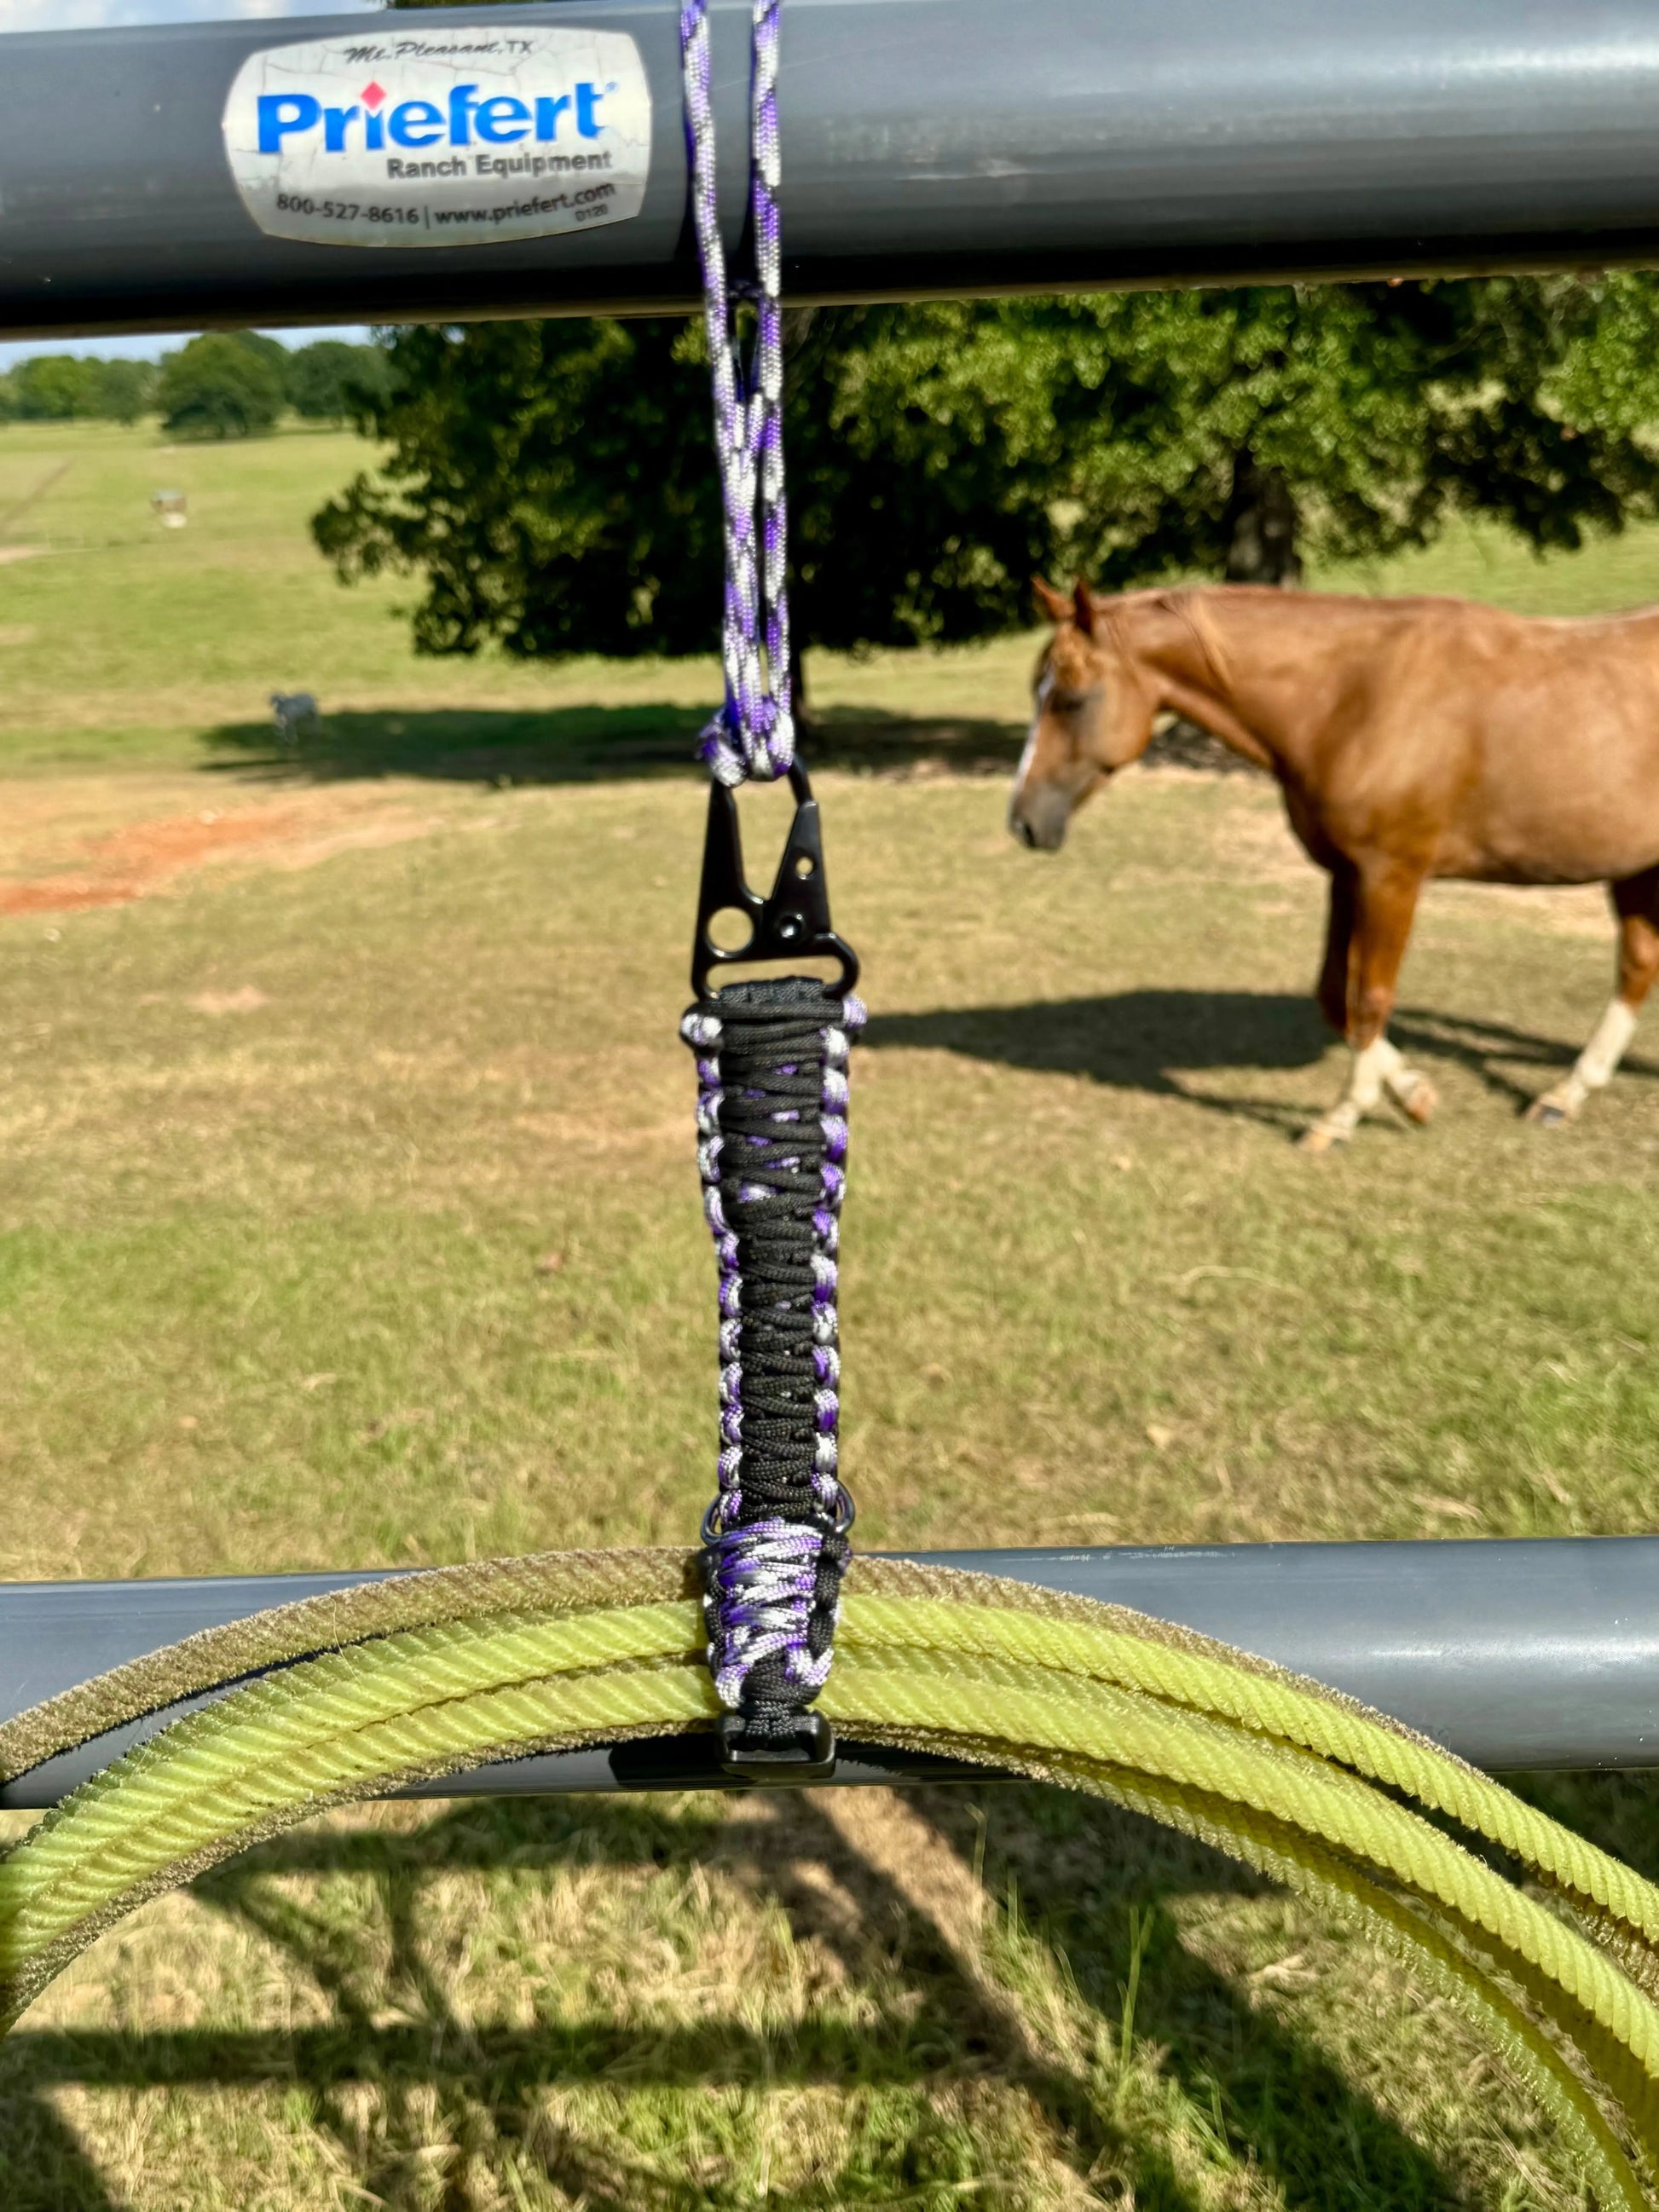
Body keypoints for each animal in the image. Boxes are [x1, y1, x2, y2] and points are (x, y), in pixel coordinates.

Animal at [1010, 578, 1659, 1149]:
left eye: (1071, 699)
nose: (1023, 822)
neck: (1353, 696)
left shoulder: (1391, 879)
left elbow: (1369, 996)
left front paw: (1343, 1117)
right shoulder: (1347, 877)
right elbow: (1332, 995)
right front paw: (1413, 1094)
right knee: (1637, 967)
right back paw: (1566, 1095)